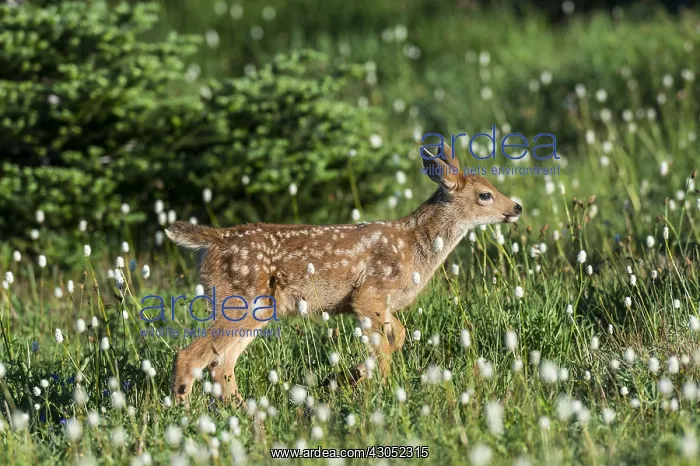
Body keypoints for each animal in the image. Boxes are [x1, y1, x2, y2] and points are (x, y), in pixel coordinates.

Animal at [165, 143, 522, 407]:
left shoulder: (378, 304)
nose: (516, 207)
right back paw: (184, 414)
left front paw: (351, 376)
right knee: (190, 356)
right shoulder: (368, 294)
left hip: (259, 309)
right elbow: (386, 346)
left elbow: (398, 336)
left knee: (221, 364)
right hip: (242, 299)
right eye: (485, 195)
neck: (414, 246)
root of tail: (214, 239)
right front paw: (373, 385)